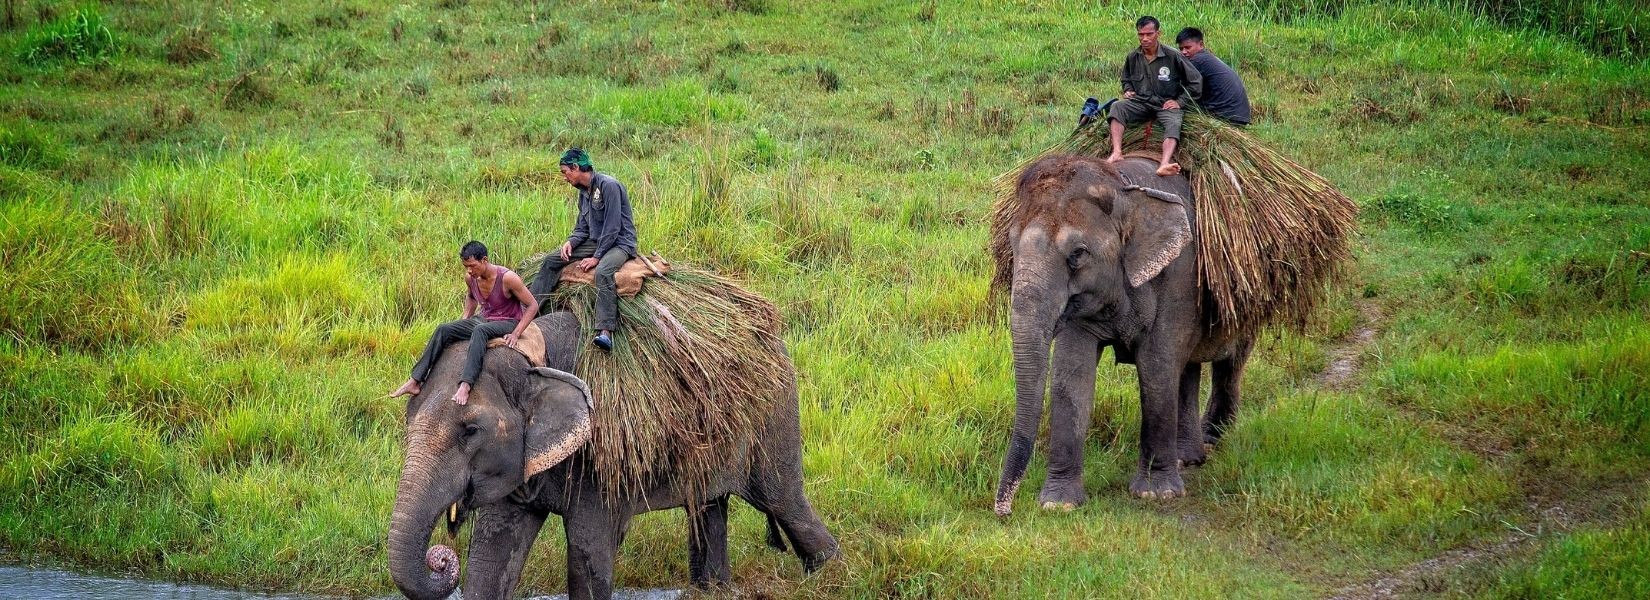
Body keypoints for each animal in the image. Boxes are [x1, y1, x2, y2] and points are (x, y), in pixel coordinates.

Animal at [387, 309, 838, 600]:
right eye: (408, 417)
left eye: (470, 430)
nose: (440, 559)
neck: (533, 356)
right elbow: (492, 553)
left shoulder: (600, 452)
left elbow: (587, 552)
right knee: (709, 506)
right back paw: (713, 589)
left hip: (774, 413)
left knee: (783, 501)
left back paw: (832, 574)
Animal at [990, 152, 1247, 514]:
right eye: (1010, 246)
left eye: (1077, 254)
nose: (1004, 510)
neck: (1122, 186)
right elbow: (1070, 375)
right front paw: (1058, 504)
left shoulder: (1181, 272)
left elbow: (1156, 367)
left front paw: (1155, 494)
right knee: (1187, 368)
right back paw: (1187, 458)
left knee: (1228, 359)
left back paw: (1210, 441)